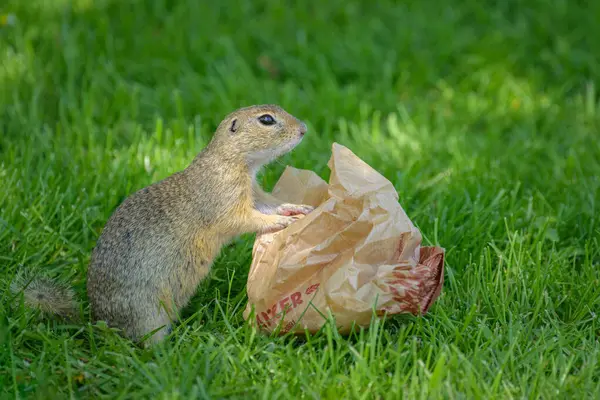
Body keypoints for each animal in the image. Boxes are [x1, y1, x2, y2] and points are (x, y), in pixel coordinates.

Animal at [11, 104, 314, 346]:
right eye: (266, 120)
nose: (304, 129)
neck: (233, 161)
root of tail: (98, 322)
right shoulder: (225, 199)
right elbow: (246, 219)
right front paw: (281, 221)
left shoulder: (253, 192)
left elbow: (266, 205)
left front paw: (295, 208)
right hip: (148, 314)